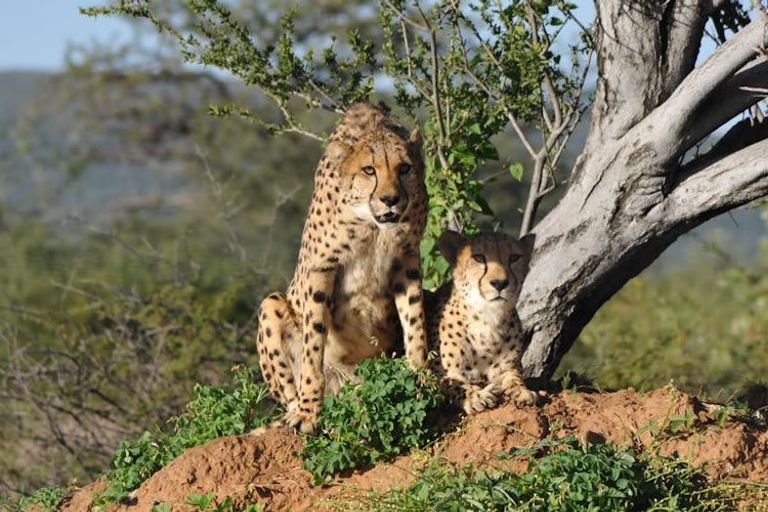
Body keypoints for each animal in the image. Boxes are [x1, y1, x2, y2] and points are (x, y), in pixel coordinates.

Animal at [256, 103, 429, 433]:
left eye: (404, 168)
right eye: (369, 170)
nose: (391, 199)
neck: (373, 225)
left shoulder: (407, 259)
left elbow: (415, 320)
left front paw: (422, 376)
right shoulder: (323, 267)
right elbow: (313, 345)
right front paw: (309, 411)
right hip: (270, 304)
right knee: (288, 392)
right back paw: (297, 411)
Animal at [425, 229, 537, 415]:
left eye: (514, 257)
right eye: (479, 258)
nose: (500, 283)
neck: (488, 317)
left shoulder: (509, 366)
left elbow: (514, 377)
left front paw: (522, 391)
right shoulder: (435, 373)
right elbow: (455, 384)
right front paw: (477, 396)